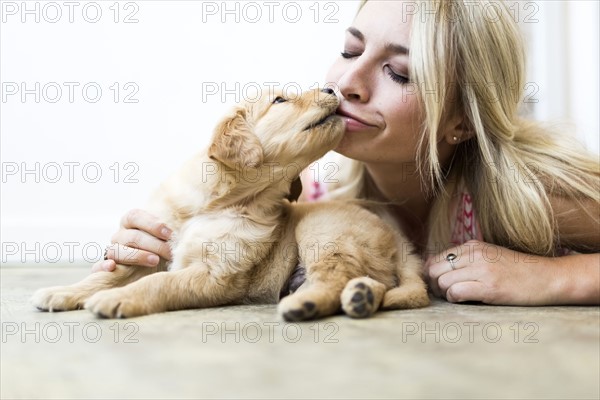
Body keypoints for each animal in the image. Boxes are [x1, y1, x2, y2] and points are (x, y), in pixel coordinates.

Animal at [32, 88, 428, 322]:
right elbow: (110, 273)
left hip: (321, 228)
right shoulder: (154, 248)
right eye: (280, 100)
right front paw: (65, 292)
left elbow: (158, 283)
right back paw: (360, 296)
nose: (333, 89)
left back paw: (307, 303)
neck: (219, 203)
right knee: (371, 281)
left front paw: (118, 298)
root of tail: (397, 239)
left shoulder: (217, 273)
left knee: (334, 276)